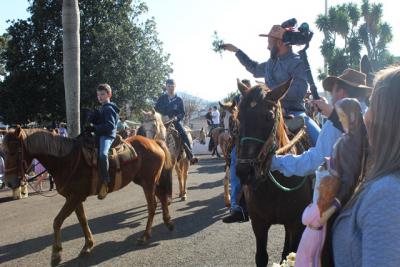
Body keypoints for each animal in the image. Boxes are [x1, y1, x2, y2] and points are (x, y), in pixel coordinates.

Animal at [1, 126, 173, 266]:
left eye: (14, 152)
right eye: (4, 151)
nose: (9, 182)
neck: (67, 160)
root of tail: (154, 142)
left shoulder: (74, 197)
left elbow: (57, 221)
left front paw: (56, 253)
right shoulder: (74, 197)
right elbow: (82, 220)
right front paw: (88, 245)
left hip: (148, 182)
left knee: (152, 206)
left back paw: (145, 236)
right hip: (145, 181)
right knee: (162, 197)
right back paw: (168, 222)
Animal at [234, 80, 312, 266]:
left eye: (269, 116)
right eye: (239, 118)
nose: (245, 172)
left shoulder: (297, 224)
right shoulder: (259, 224)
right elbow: (261, 257)